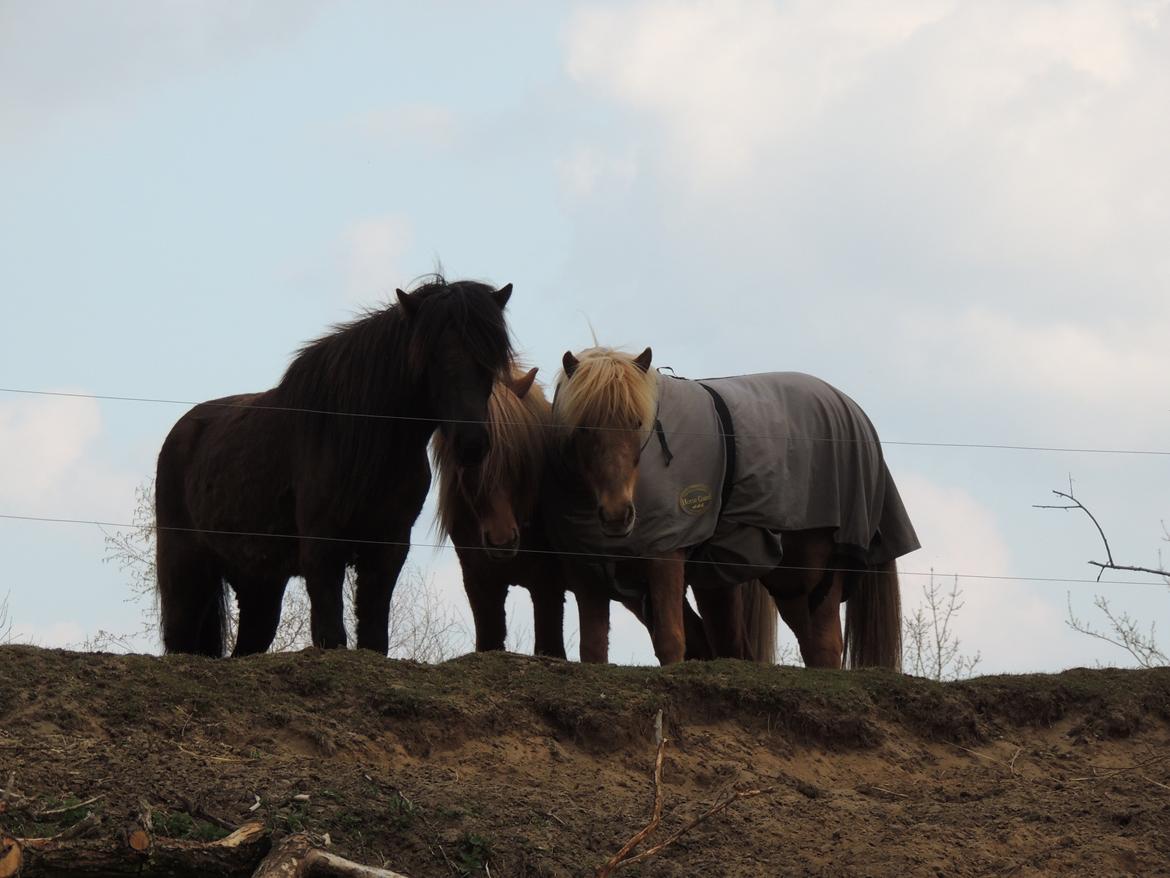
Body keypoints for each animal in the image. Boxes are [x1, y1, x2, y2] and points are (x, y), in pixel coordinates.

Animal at [156, 278, 517, 655]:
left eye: (490, 356)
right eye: (429, 356)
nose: (472, 443)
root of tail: (182, 431)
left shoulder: (388, 547)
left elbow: (374, 636)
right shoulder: (322, 547)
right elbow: (331, 635)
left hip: (258, 583)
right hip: (185, 572)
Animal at [542, 346, 917, 669]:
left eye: (637, 422)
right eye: (582, 426)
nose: (618, 515)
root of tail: (850, 408)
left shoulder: (665, 556)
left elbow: (671, 641)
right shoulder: (588, 569)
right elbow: (593, 648)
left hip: (808, 567)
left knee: (823, 645)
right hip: (751, 579)